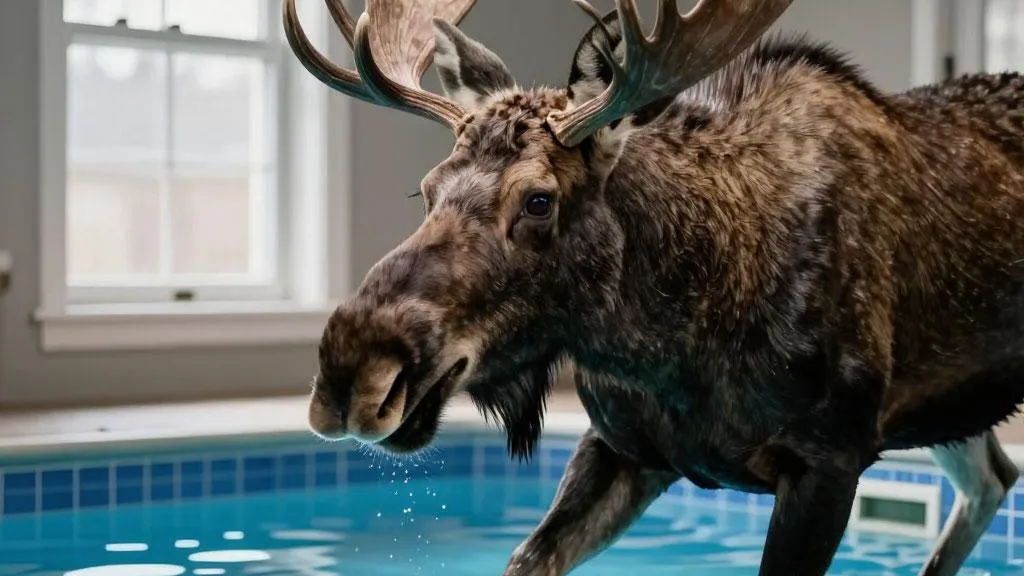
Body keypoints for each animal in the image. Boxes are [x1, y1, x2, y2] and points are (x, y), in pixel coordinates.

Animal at [283, 0, 1024, 574]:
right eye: (427, 189)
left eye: (539, 200)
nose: (351, 368)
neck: (676, 348)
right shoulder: (623, 446)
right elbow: (528, 556)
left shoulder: (831, 456)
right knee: (993, 478)